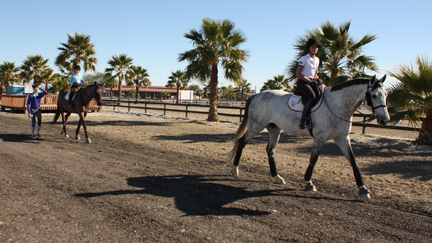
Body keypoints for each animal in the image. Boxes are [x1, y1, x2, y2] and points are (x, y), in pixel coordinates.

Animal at [228, 76, 390, 199]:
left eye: (386, 95)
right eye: (374, 95)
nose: (385, 120)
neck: (336, 105)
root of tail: (256, 95)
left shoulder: (342, 138)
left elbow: (353, 161)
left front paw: (363, 189)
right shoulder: (320, 137)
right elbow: (313, 159)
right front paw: (308, 183)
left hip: (274, 129)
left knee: (270, 150)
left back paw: (276, 177)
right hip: (256, 126)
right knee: (242, 142)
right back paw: (235, 170)